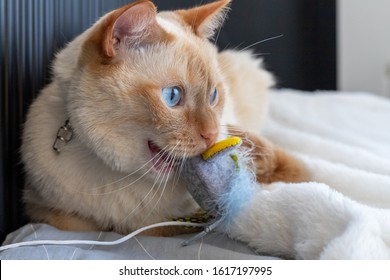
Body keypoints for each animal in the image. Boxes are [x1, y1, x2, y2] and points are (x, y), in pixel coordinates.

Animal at [21, 0, 308, 236]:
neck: (120, 180)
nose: (212, 134)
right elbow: (88, 224)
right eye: (172, 96)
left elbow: (298, 172)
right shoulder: (44, 209)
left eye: (213, 95)